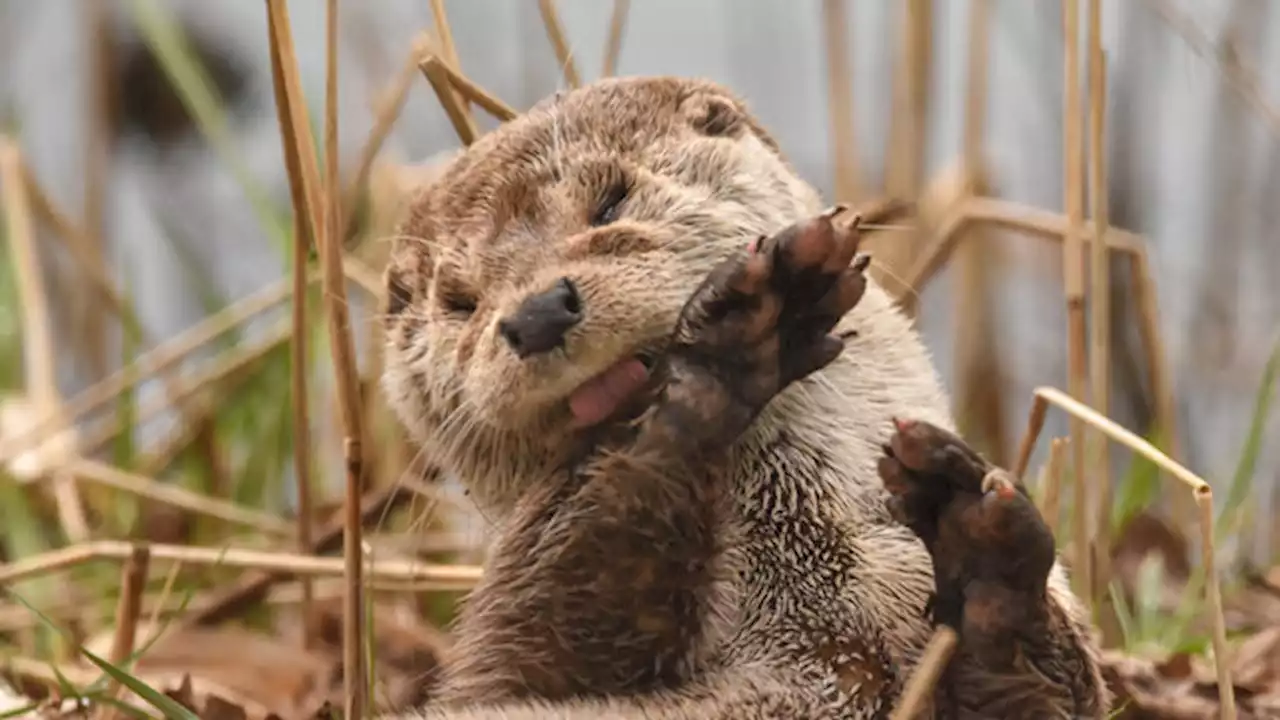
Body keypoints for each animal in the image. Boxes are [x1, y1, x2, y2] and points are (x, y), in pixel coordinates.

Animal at [381, 75, 1111, 712]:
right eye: (459, 302)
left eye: (611, 201)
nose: (535, 314)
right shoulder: (496, 673)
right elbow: (550, 616)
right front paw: (731, 339)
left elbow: (1045, 689)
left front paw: (983, 546)